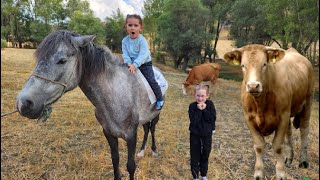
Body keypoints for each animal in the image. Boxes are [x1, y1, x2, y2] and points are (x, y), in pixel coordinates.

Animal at [15, 30, 166, 179]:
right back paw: (141, 151)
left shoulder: (131, 136)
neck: (116, 94)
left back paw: (153, 151)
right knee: (146, 129)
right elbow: (115, 160)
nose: (24, 103)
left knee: (152, 129)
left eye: (62, 60)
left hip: (156, 115)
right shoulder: (109, 133)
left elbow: (130, 166)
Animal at [224, 44, 314, 179]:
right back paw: (289, 157)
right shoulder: (249, 118)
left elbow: (277, 146)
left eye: (264, 64)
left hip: (308, 101)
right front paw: (258, 173)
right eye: (243, 65)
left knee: (304, 130)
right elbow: (259, 146)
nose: (253, 86)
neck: (260, 103)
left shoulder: (283, 116)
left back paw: (303, 161)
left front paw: (281, 173)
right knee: (289, 132)